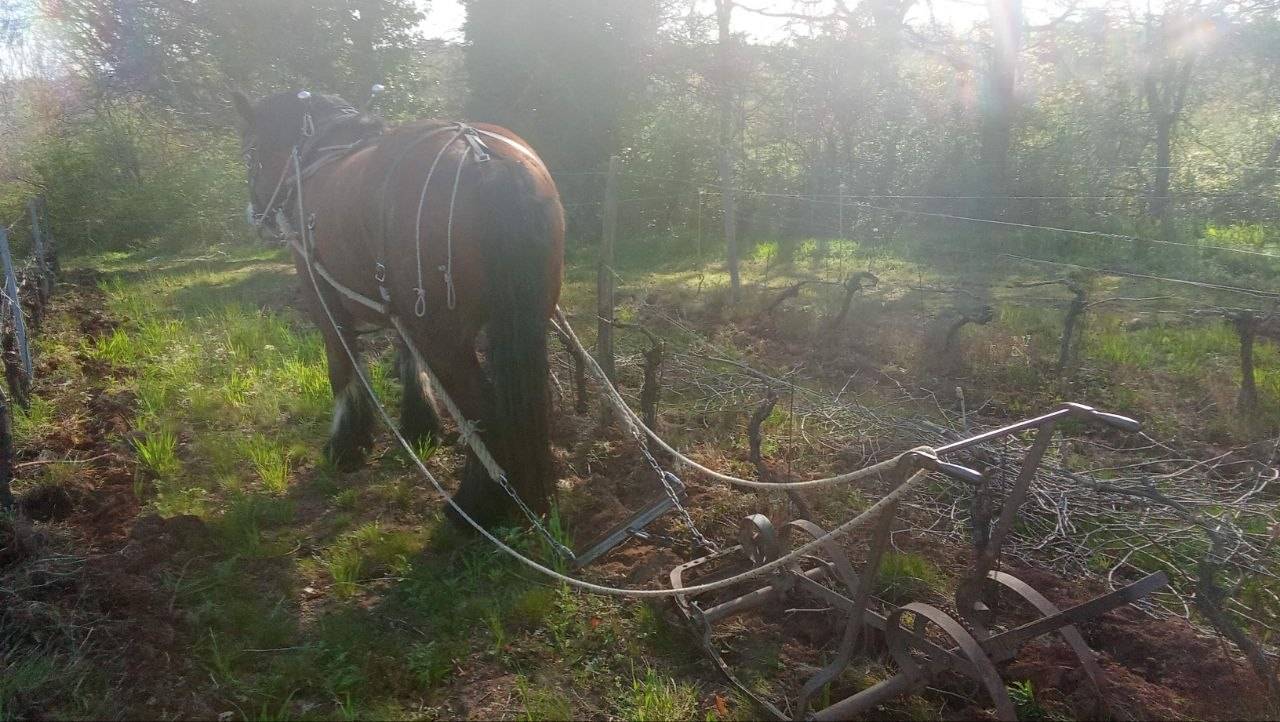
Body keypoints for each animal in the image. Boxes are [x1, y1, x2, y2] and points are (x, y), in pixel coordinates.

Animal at [232, 90, 565, 528]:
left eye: (250, 152)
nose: (254, 214)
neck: (316, 158)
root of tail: (484, 158)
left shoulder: (324, 303)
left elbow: (343, 369)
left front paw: (346, 445)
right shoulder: (400, 310)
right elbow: (409, 361)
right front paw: (419, 426)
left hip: (444, 340)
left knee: (482, 412)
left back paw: (474, 507)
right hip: (524, 323)